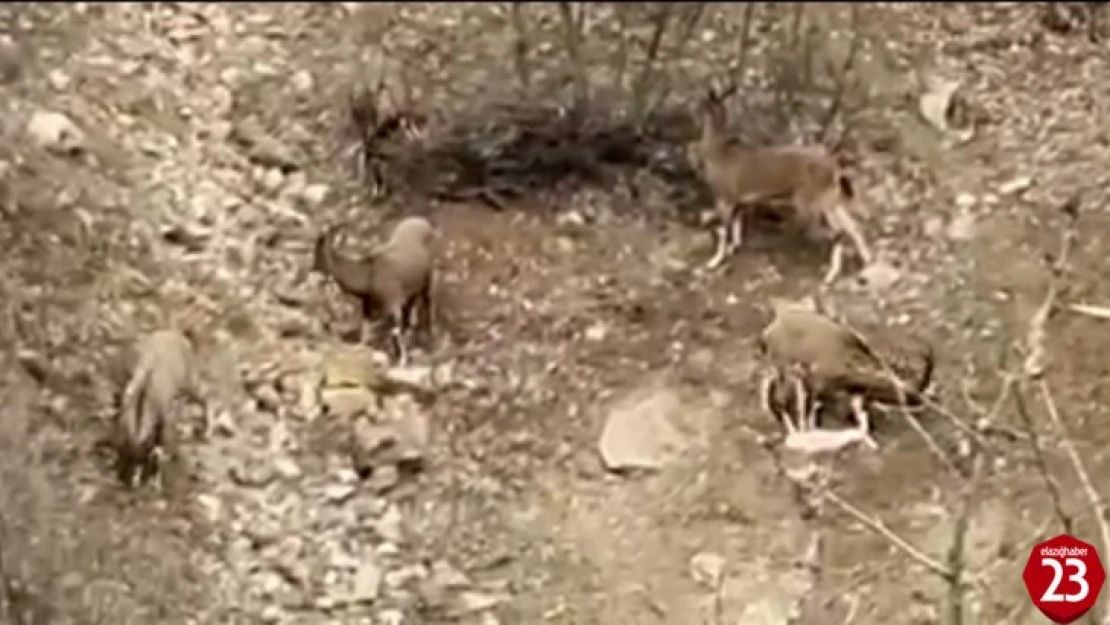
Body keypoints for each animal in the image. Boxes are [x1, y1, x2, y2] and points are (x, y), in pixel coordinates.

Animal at [113, 328, 207, 488]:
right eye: (128, 455)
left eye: (141, 456)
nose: (132, 483)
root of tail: (177, 334)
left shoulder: (165, 419)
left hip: (190, 381)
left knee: (204, 398)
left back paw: (205, 430)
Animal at [313, 215, 437, 364]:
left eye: (319, 253)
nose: (312, 269)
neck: (368, 275)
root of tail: (425, 223)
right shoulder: (368, 303)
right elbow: (366, 328)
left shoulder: (392, 303)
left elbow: (394, 330)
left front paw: (402, 360)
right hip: (411, 292)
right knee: (410, 311)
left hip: (428, 280)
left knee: (427, 302)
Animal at [692, 84, 874, 284]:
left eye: (704, 103)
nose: (696, 105)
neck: (719, 154)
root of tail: (835, 168)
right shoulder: (741, 200)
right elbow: (736, 225)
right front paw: (734, 248)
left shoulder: (725, 196)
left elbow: (723, 229)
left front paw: (713, 262)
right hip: (831, 201)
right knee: (852, 227)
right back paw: (866, 262)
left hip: (811, 201)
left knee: (837, 232)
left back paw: (830, 276)